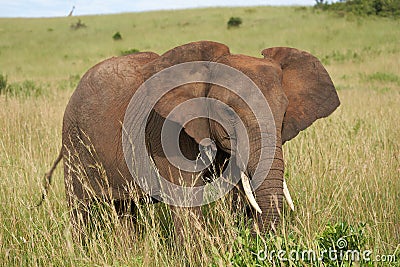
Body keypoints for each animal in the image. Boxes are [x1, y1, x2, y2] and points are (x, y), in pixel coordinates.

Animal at [45, 40, 340, 241]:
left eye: (283, 114)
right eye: (229, 113)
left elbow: (240, 193)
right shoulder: (168, 132)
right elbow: (186, 197)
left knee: (126, 207)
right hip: (74, 139)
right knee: (80, 207)